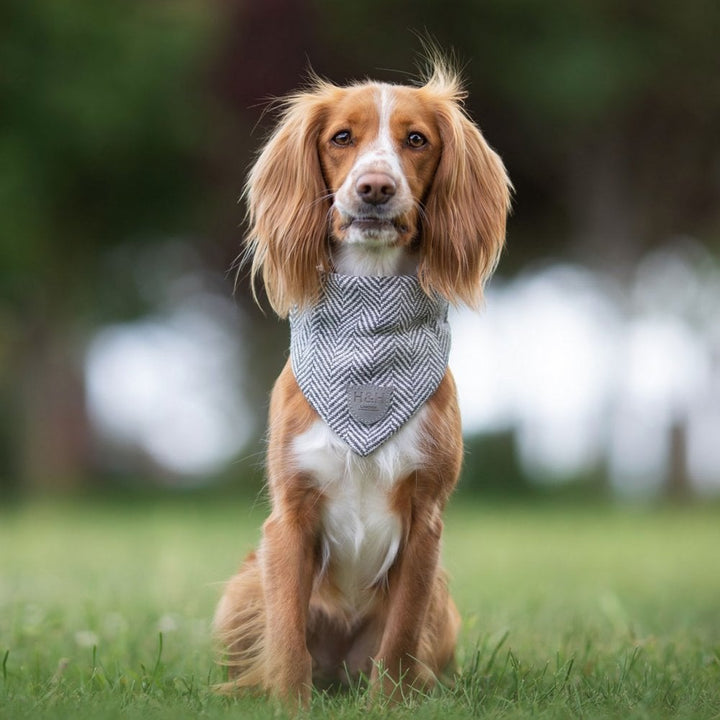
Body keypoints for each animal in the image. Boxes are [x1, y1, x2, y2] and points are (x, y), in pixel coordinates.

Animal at [214, 56, 512, 708]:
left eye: (417, 140)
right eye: (341, 137)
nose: (375, 187)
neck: (367, 341)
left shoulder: (425, 524)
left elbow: (397, 641)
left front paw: (388, 707)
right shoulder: (290, 519)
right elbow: (286, 641)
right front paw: (290, 708)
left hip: (443, 605)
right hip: (241, 588)